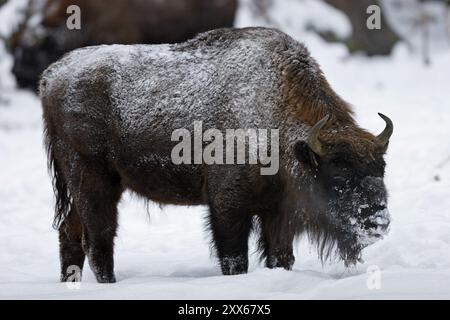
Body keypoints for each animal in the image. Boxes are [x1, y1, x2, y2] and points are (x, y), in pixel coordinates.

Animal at [41, 27, 394, 282]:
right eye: (339, 176)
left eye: (381, 170)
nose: (378, 222)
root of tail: (52, 75)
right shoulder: (228, 207)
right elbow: (234, 258)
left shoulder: (276, 213)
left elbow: (281, 257)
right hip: (94, 180)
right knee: (98, 240)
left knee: (70, 231)